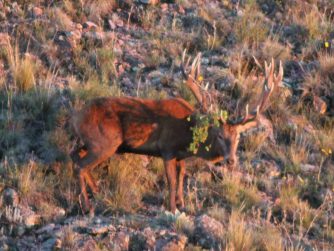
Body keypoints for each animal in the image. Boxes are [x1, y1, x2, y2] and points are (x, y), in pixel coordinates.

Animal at [70, 50, 282, 214]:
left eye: (238, 136)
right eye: (220, 135)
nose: (231, 160)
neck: (188, 135)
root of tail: (77, 116)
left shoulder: (180, 156)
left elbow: (182, 176)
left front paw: (182, 204)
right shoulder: (167, 148)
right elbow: (171, 180)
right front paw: (172, 208)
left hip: (90, 142)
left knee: (75, 156)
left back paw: (97, 191)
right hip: (104, 141)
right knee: (80, 166)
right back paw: (87, 206)